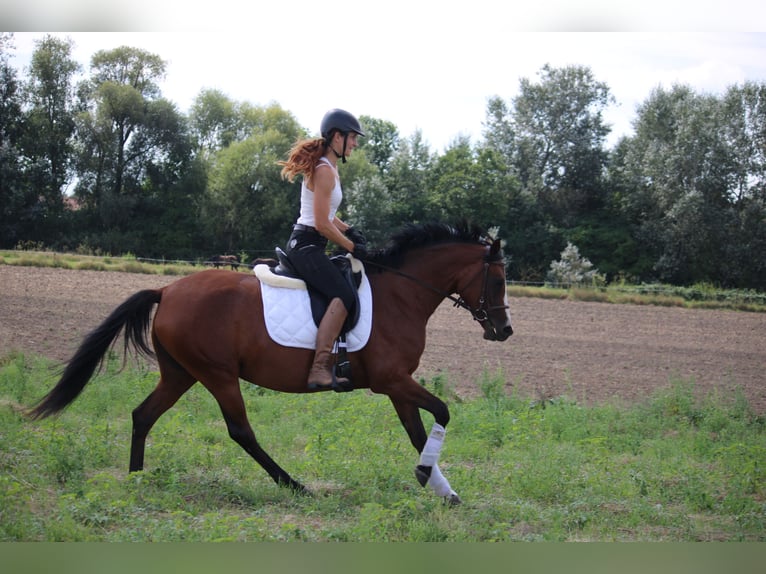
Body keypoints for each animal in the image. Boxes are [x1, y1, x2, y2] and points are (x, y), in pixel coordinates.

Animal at [28, 220, 516, 504]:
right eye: (497, 280)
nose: (504, 330)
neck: (402, 292)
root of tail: (167, 290)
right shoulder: (392, 379)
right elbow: (442, 413)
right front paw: (429, 477)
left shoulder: (397, 384)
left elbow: (417, 431)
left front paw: (442, 489)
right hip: (217, 374)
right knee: (241, 431)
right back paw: (295, 485)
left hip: (181, 373)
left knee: (143, 415)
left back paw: (136, 480)